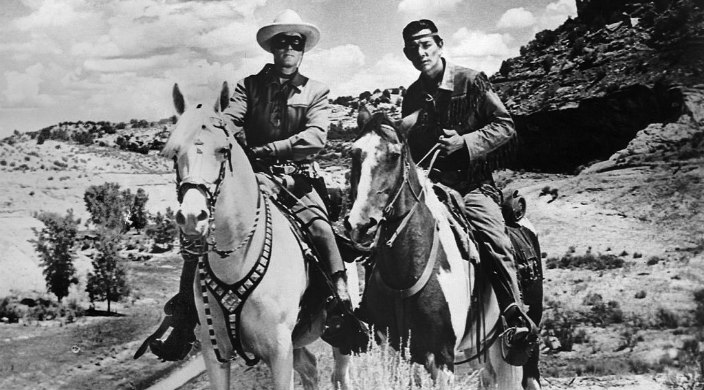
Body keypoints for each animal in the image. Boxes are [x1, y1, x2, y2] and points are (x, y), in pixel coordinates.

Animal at [160, 83, 358, 390]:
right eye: (174, 152)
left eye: (223, 149)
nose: (192, 217)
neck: (236, 261)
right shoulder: (215, 354)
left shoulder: (279, 352)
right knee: (311, 369)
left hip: (339, 339)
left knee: (341, 374)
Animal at [346, 109, 540, 390]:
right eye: (354, 153)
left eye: (394, 155)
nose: (361, 225)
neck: (406, 271)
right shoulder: (389, 352)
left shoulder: (441, 357)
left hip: (527, 343)